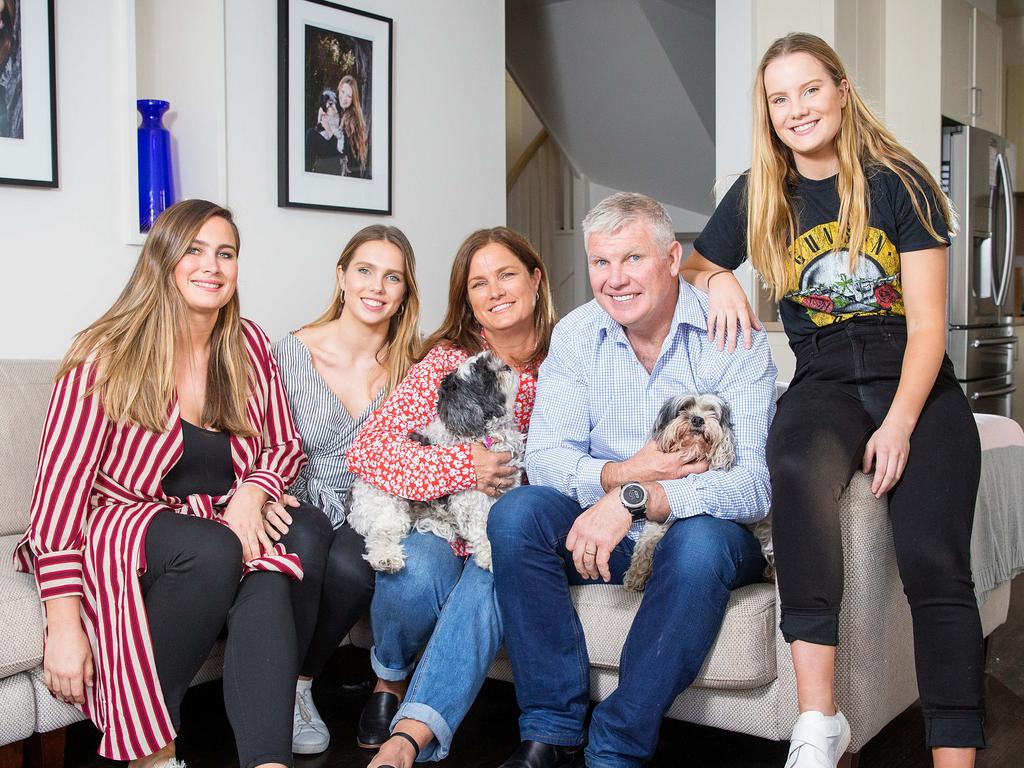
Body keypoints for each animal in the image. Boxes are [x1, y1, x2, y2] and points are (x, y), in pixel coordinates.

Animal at [348, 352, 524, 573]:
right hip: (388, 507)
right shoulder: (472, 503)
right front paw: (491, 556)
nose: (506, 366)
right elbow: (482, 530)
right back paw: (385, 558)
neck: (486, 433)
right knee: (380, 535)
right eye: (485, 376)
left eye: (493, 361)